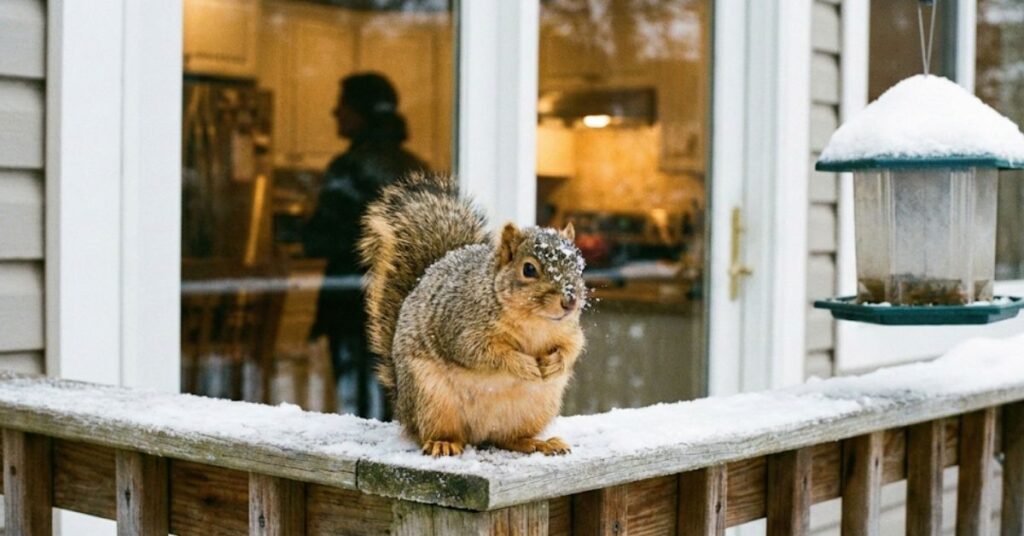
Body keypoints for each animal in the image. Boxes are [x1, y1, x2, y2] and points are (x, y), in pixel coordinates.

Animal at [359, 172, 586, 457]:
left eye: (579, 266)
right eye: (529, 269)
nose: (570, 301)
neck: (534, 322)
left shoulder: (569, 330)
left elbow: (573, 347)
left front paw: (555, 363)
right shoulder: (459, 326)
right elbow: (482, 352)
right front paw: (523, 365)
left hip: (536, 407)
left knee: (508, 438)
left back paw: (537, 443)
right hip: (431, 398)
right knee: (432, 432)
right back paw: (442, 442)